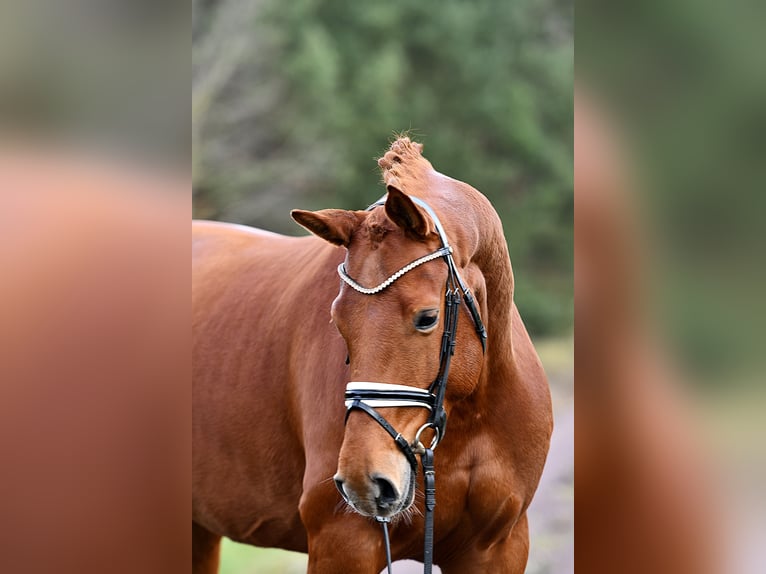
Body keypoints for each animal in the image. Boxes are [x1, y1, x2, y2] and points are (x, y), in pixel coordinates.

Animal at [192, 137, 553, 574]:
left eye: (428, 318)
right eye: (336, 321)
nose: (365, 480)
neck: (471, 418)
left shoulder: (498, 548)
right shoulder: (343, 544)